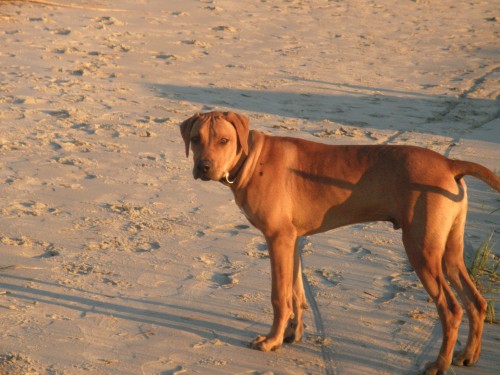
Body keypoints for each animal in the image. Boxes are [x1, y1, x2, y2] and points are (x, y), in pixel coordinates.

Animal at [180, 111, 500, 375]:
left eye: (224, 140)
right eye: (196, 139)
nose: (203, 167)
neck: (251, 158)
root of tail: (449, 163)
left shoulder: (277, 238)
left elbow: (279, 296)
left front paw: (272, 340)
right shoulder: (292, 240)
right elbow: (296, 292)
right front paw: (292, 334)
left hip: (421, 251)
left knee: (452, 309)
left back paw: (439, 364)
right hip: (449, 253)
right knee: (476, 302)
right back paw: (468, 355)